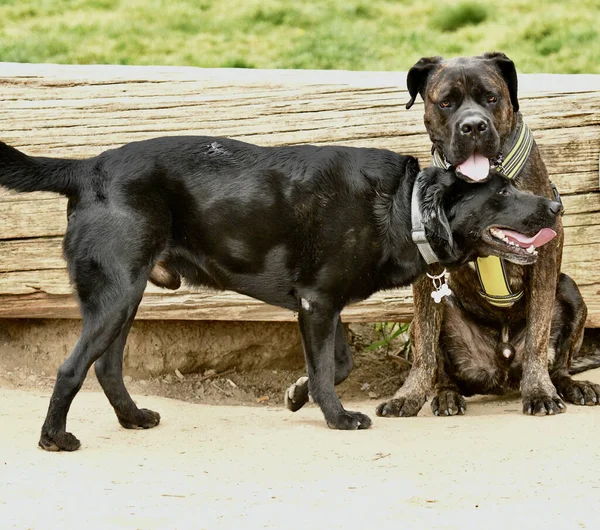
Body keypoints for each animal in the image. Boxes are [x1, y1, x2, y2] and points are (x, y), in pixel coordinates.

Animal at [0, 137, 564, 450]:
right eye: (502, 192)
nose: (556, 207)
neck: (402, 206)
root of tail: (87, 167)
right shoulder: (317, 304)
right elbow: (327, 372)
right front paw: (338, 419)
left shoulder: (323, 304)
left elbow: (334, 365)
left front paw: (297, 393)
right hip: (117, 294)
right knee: (72, 368)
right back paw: (54, 440)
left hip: (128, 294)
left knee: (107, 367)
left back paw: (133, 419)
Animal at [378, 53, 596, 416]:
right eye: (446, 102)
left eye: (491, 98)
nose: (473, 126)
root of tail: (503, 362)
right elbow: (425, 348)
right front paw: (407, 396)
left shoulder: (547, 252)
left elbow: (538, 335)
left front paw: (539, 391)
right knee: (441, 368)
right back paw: (447, 396)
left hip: (570, 291)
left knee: (560, 363)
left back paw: (571, 386)